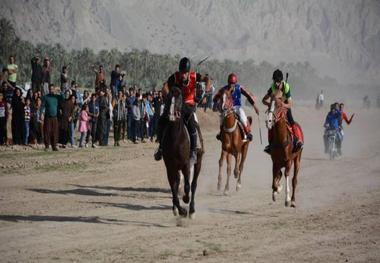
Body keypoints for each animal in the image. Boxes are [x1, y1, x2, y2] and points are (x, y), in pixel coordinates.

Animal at [163, 88, 205, 219]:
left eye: (180, 99)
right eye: (167, 98)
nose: (171, 115)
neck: (176, 138)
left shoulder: (186, 164)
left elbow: (187, 186)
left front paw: (186, 200)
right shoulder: (170, 167)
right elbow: (173, 188)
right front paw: (180, 210)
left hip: (198, 161)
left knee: (193, 184)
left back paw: (192, 210)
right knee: (178, 183)